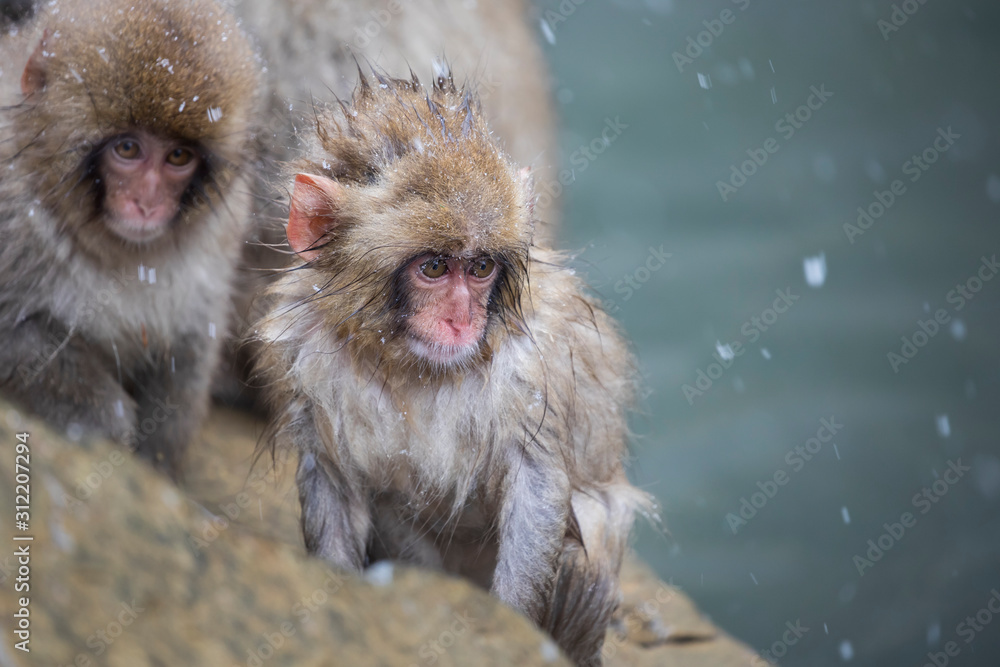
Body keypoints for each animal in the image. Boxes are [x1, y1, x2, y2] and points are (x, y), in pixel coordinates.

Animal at [0, 0, 264, 477]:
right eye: (127, 149)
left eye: (178, 156)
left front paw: (157, 456)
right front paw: (104, 417)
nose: (146, 203)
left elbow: (189, 347)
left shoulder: (224, 231)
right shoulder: (10, 215)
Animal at [253, 71, 653, 666]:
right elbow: (333, 479)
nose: (462, 319)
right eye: (436, 267)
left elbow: (537, 484)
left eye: (481, 266)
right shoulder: (307, 358)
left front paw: (512, 630)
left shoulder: (530, 367)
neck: (408, 364)